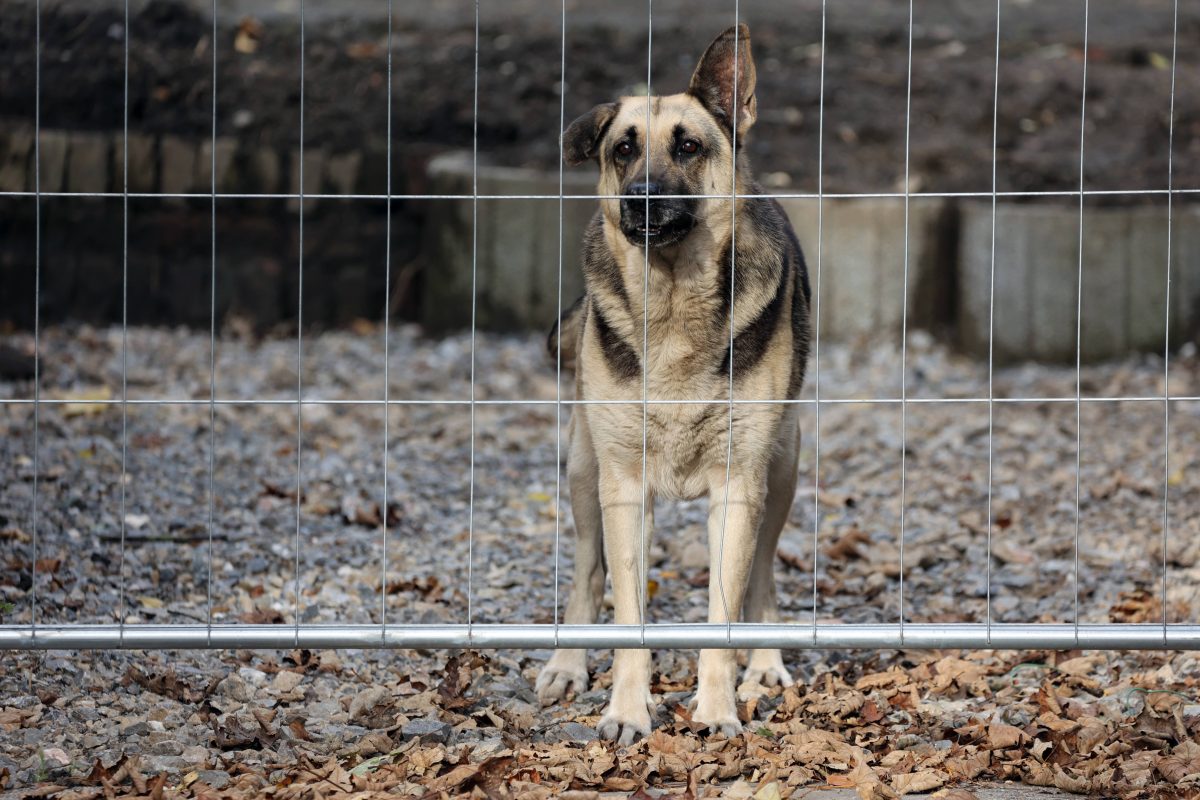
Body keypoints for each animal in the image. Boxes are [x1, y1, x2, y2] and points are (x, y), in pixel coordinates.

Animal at [537, 25, 811, 748]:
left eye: (688, 146)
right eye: (623, 149)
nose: (641, 198)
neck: (672, 298)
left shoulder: (739, 487)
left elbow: (723, 614)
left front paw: (716, 709)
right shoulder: (624, 489)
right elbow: (627, 615)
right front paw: (628, 711)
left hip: (781, 471)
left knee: (762, 575)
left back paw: (764, 663)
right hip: (584, 473)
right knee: (587, 572)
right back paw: (566, 663)